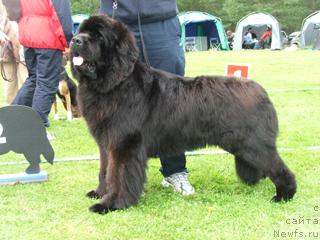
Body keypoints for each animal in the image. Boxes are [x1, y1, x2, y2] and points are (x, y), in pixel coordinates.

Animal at [70, 15, 298, 214]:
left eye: (99, 36)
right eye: (81, 31)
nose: (75, 40)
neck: (116, 83)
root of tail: (261, 90)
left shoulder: (124, 143)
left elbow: (118, 175)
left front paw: (111, 204)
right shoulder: (106, 143)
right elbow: (105, 170)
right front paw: (100, 192)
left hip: (253, 143)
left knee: (278, 167)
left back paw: (284, 194)